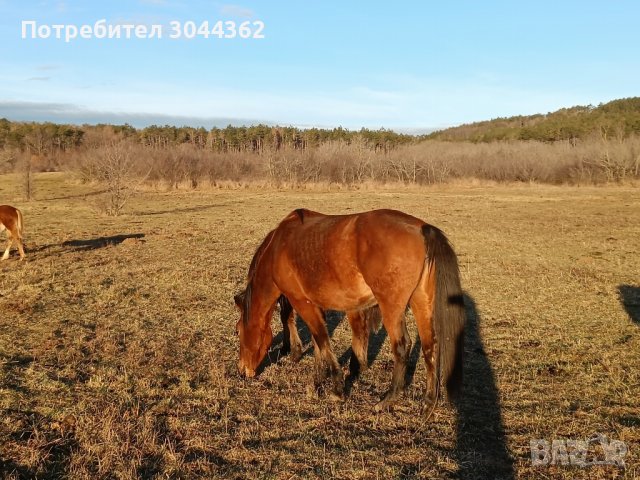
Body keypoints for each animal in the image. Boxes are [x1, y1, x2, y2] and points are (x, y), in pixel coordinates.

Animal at [235, 208, 464, 410]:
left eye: (238, 331)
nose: (242, 371)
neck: (279, 247)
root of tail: (422, 228)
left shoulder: (301, 301)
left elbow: (322, 339)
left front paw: (336, 388)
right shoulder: (316, 303)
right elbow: (318, 342)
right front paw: (317, 381)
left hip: (392, 308)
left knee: (402, 346)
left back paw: (387, 400)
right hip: (421, 302)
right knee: (430, 346)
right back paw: (428, 404)